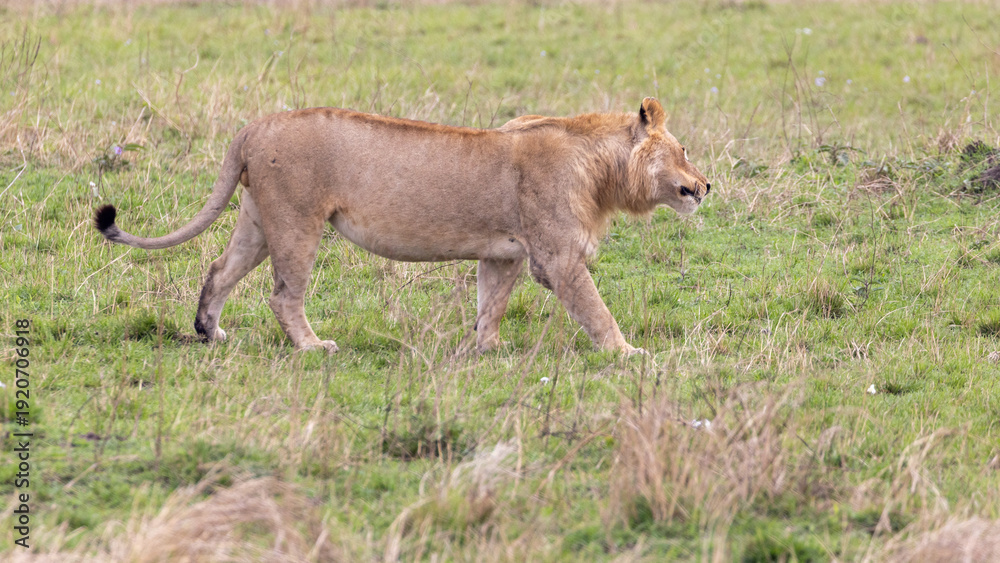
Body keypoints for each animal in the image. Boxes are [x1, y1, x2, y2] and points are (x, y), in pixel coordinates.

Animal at [94, 97, 710, 355]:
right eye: (683, 150)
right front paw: (627, 354)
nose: (705, 186)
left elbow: (491, 303)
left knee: (219, 271)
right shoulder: (556, 257)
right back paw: (313, 346)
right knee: (283, 295)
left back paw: (210, 333)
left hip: (257, 220)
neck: (601, 167)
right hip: (297, 220)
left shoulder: (504, 253)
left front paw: (487, 349)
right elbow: (596, 311)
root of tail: (254, 126)